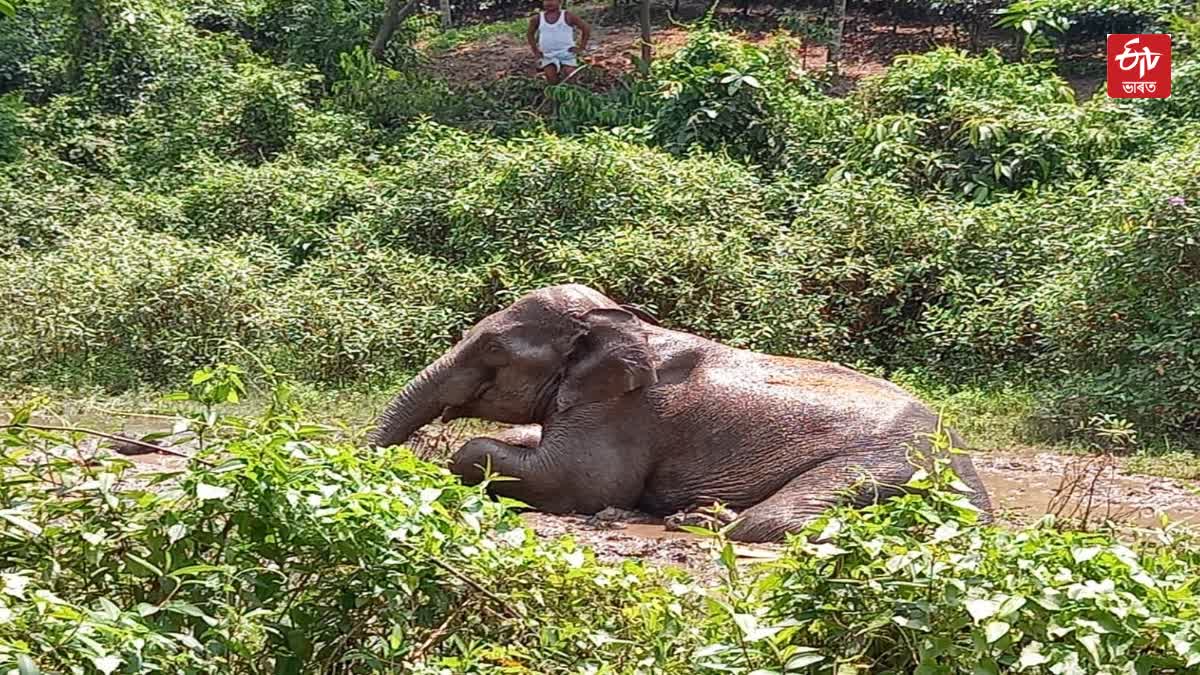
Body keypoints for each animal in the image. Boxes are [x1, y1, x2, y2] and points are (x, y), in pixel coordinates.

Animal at [364, 283, 993, 540]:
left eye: (494, 350)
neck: (627, 321)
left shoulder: (622, 412)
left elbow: (582, 483)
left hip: (887, 463)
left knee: (783, 518)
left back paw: (696, 520)